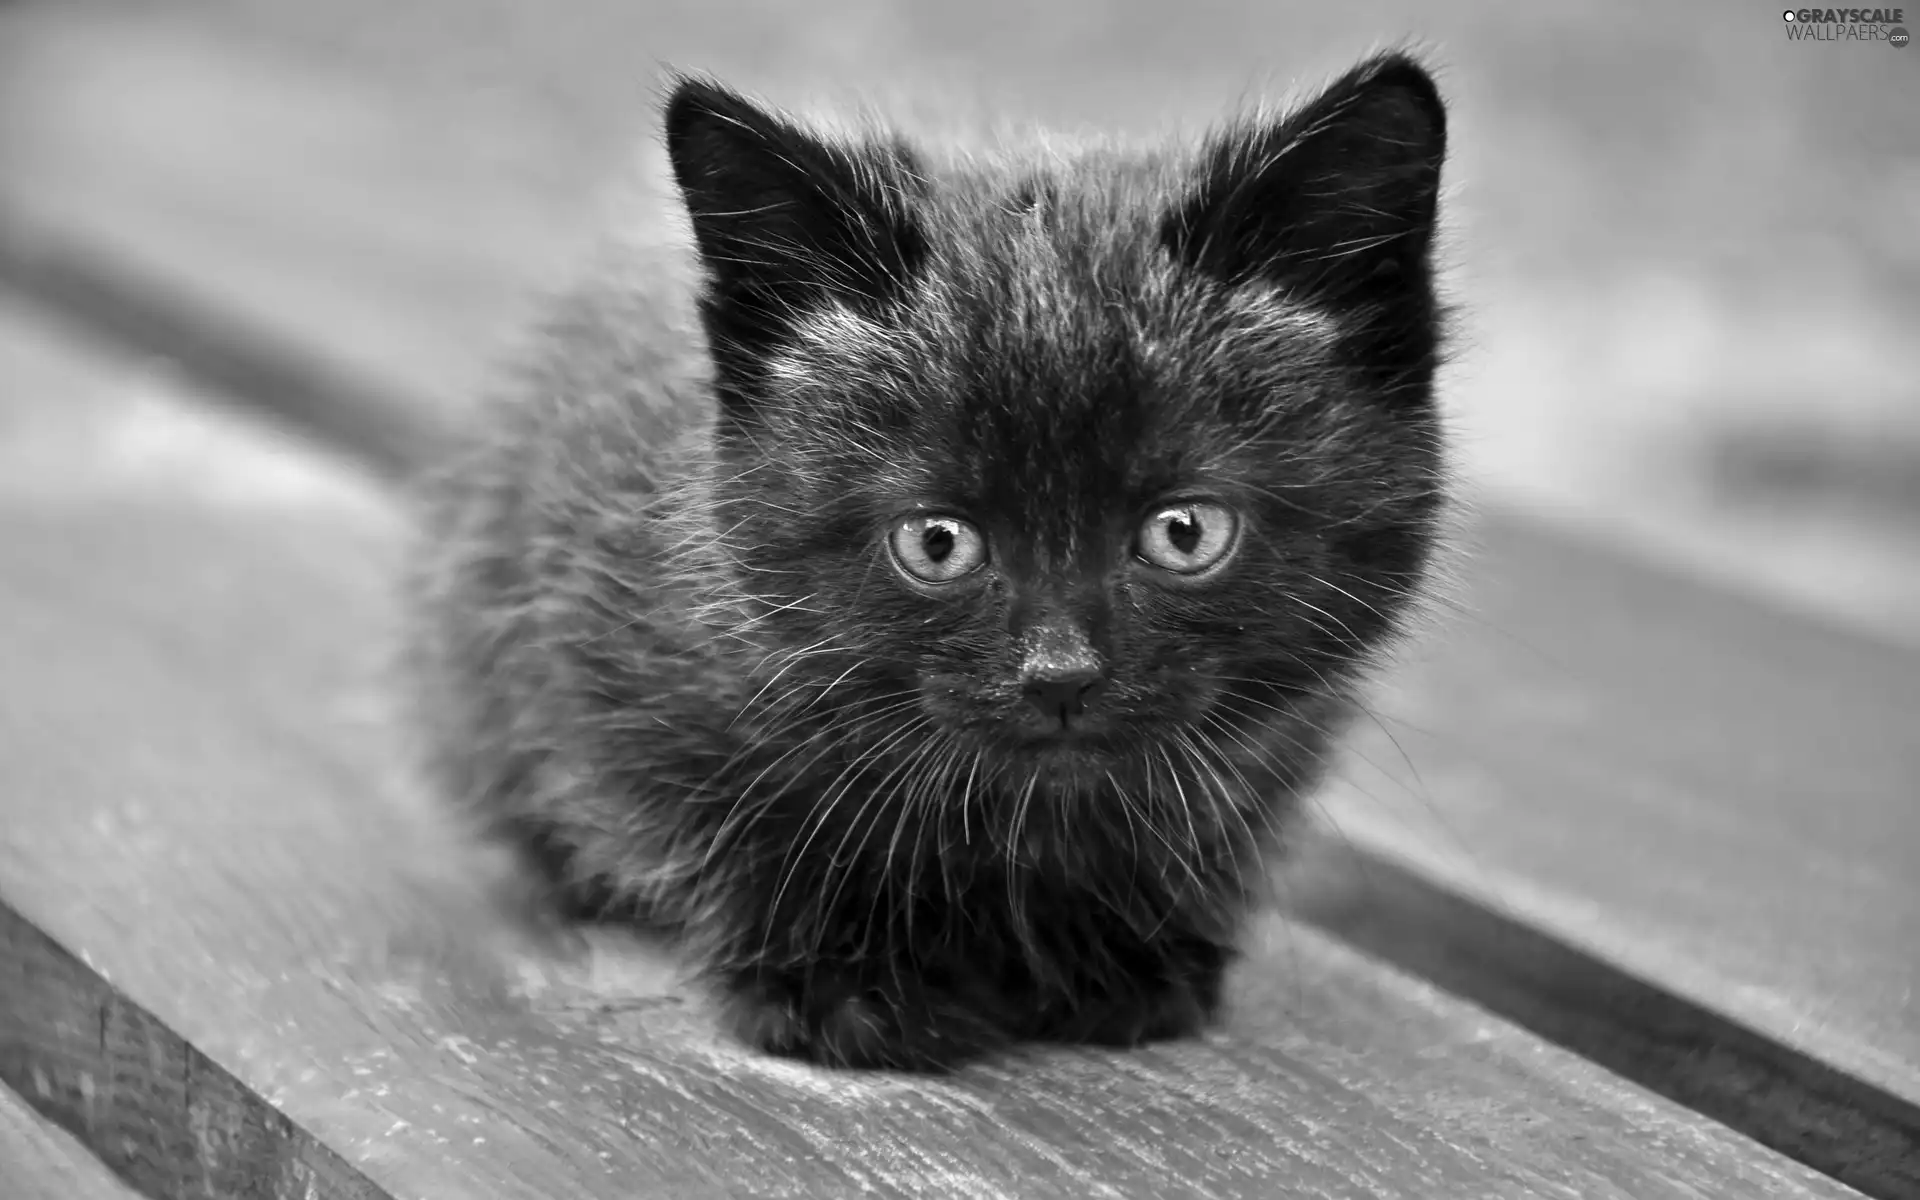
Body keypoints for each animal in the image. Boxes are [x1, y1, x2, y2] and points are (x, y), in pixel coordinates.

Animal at [408, 51, 1451, 1075]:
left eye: (1184, 532)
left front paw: (1119, 951)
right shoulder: (595, 655)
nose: (1060, 673)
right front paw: (840, 979)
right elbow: (716, 820)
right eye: (937, 541)